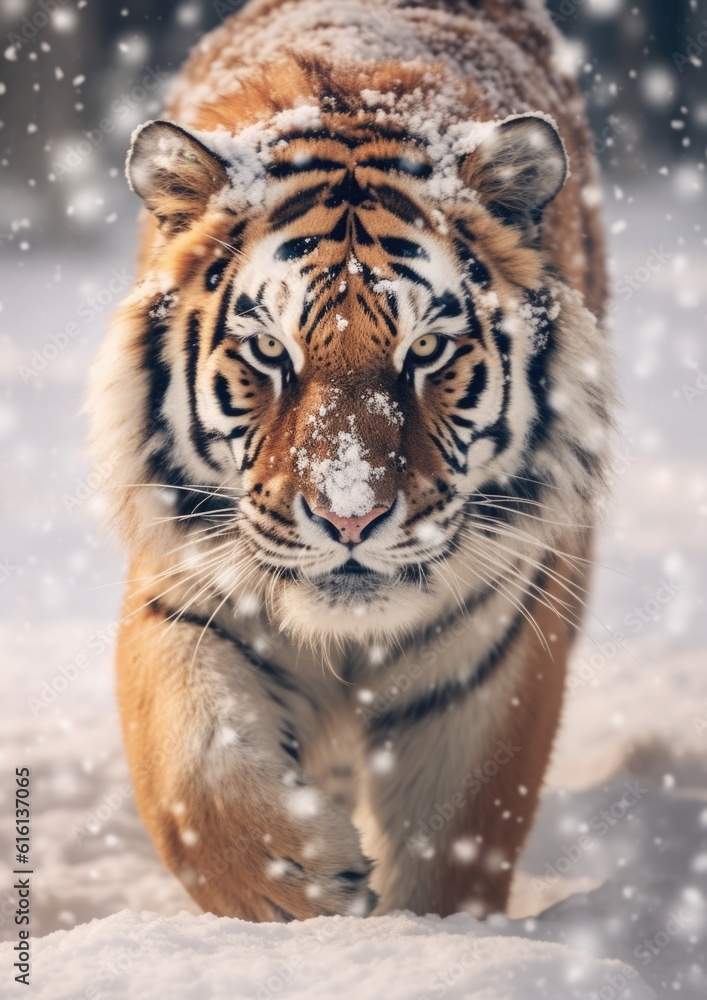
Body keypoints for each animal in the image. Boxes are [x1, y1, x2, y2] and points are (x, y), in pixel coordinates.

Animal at [88, 0, 614, 922]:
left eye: (426, 350)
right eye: (269, 352)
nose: (350, 518)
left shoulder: (494, 647)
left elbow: (454, 841)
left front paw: (412, 931)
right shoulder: (184, 587)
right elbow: (194, 774)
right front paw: (303, 891)